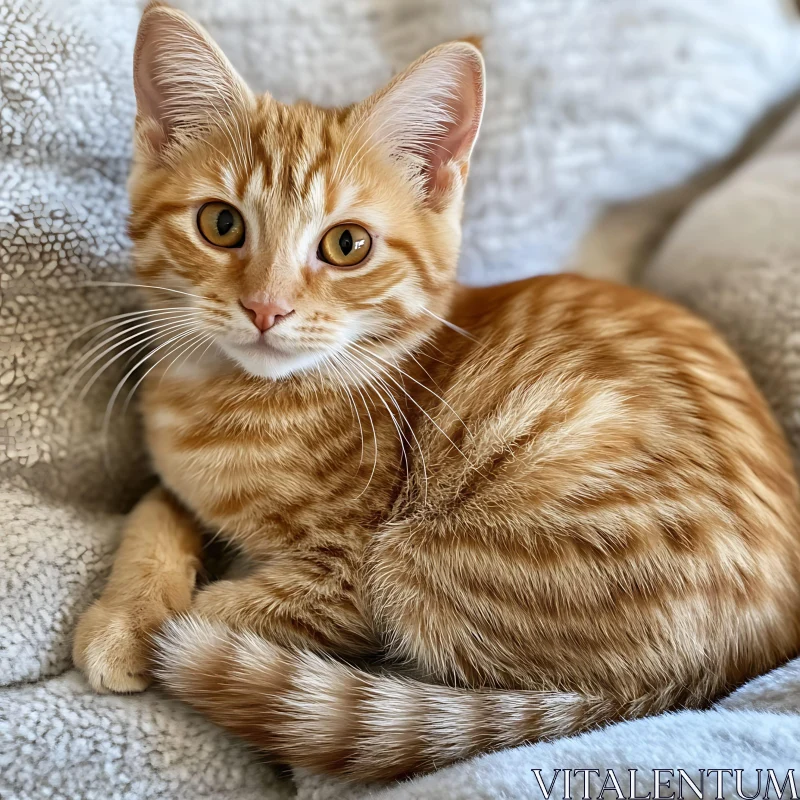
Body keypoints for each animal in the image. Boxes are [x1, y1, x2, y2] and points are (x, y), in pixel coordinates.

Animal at [70, 1, 800, 780]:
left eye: (347, 245)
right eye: (221, 223)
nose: (266, 308)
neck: (231, 401)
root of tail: (704, 685)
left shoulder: (349, 578)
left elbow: (210, 615)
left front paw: (151, 628)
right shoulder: (179, 478)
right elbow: (154, 505)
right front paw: (126, 611)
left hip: (424, 555)